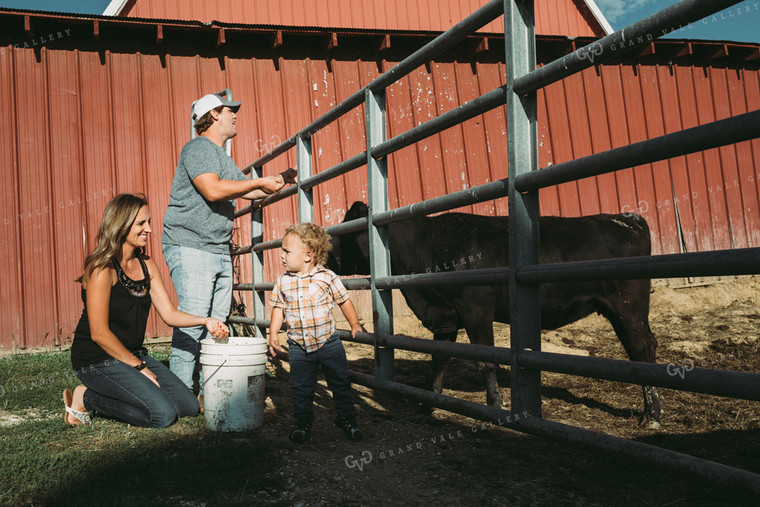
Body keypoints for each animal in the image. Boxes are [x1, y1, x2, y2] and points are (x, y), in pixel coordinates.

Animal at [330, 201, 664, 428]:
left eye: (344, 233)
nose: (329, 258)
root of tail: (625, 219)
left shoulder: (476, 311)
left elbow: (485, 359)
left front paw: (495, 404)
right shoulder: (445, 315)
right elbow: (440, 356)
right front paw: (430, 401)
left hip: (629, 306)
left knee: (643, 347)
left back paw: (653, 415)